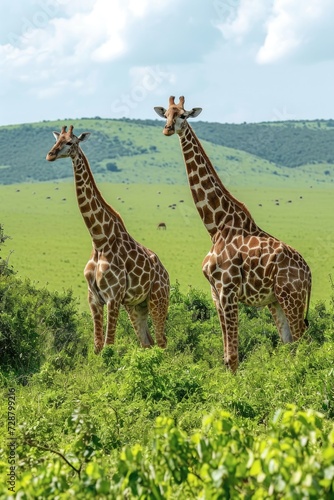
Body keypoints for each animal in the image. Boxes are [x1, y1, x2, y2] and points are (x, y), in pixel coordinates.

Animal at [45, 127, 170, 354]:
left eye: (70, 142)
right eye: (57, 140)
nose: (50, 155)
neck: (99, 240)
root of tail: (166, 274)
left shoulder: (113, 296)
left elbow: (109, 344)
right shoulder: (94, 298)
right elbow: (97, 346)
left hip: (158, 298)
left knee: (162, 342)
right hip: (136, 305)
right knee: (147, 342)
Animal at [154, 97, 310, 372]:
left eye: (183, 115)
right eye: (166, 115)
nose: (168, 129)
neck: (216, 226)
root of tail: (309, 274)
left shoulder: (228, 289)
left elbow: (234, 356)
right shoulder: (216, 293)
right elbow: (226, 356)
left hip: (291, 297)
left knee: (303, 344)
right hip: (276, 301)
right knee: (290, 345)